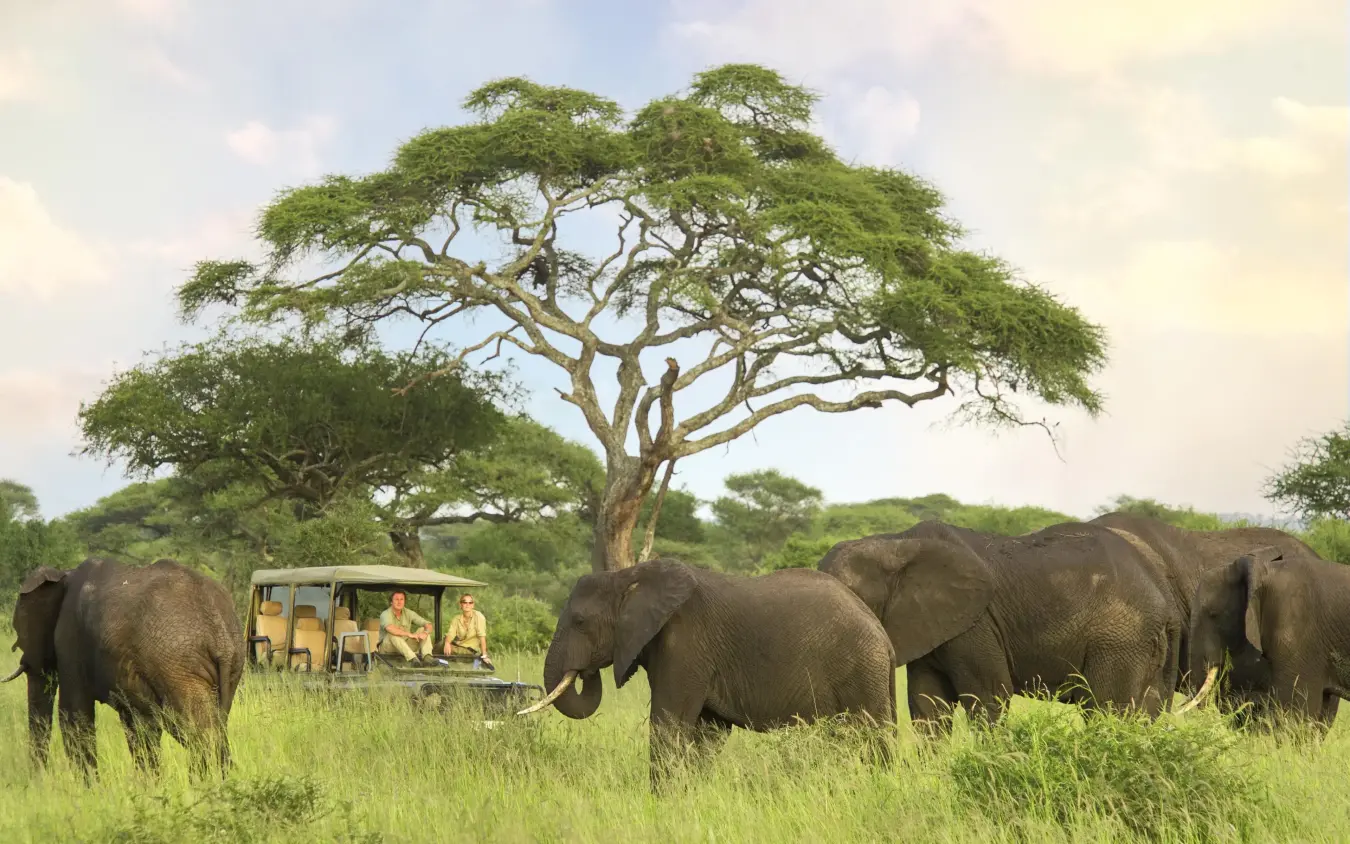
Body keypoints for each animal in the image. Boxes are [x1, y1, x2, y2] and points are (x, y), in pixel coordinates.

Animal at [3, 557, 246, 781]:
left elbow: (75, 716)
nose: (37, 781)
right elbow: (139, 728)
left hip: (178, 665)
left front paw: (91, 789)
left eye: (19, 631)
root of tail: (217, 627)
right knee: (213, 730)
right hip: (229, 662)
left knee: (197, 731)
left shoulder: (70, 639)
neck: (64, 574)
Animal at [516, 558, 897, 789]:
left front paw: (662, 802)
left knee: (873, 735)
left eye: (580, 622)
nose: (585, 671)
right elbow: (708, 734)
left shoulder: (685, 645)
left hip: (861, 669)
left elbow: (668, 725)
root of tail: (883, 636)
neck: (631, 576)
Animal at [817, 519, 1183, 734]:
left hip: (1120, 638)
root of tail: (1165, 597)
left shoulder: (976, 625)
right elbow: (927, 703)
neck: (894, 543)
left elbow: (987, 697)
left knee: (1108, 709)